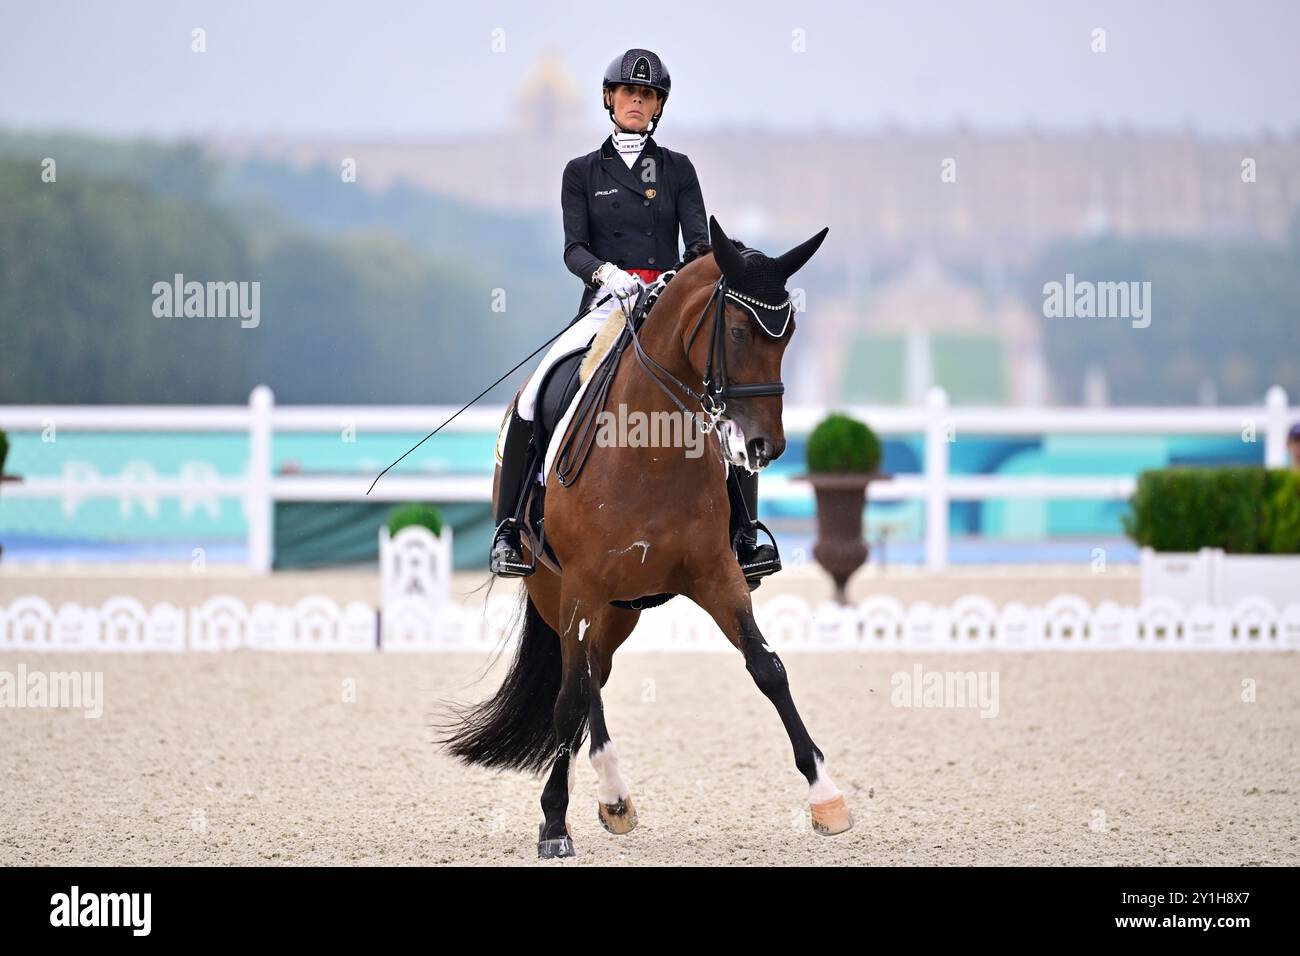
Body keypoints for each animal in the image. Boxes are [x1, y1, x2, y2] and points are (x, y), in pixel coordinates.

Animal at [444, 217, 852, 858]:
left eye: (787, 335)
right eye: (738, 330)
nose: (764, 447)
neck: (649, 451)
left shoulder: (717, 574)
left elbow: (768, 668)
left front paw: (826, 797)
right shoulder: (582, 586)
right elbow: (566, 702)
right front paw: (554, 826)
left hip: (621, 609)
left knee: (594, 674)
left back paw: (613, 796)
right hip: (558, 593)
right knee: (579, 682)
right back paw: (606, 794)